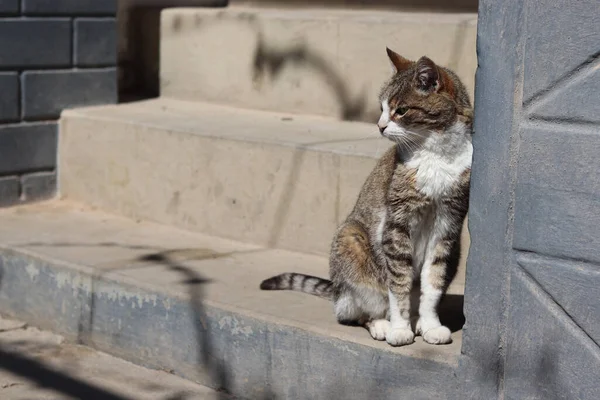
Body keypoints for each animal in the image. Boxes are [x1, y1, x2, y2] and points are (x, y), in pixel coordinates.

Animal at [260, 47, 472, 346]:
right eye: (381, 109)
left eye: (400, 110)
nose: (379, 126)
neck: (436, 155)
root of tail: (336, 290)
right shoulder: (396, 224)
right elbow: (398, 284)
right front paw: (399, 328)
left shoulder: (447, 224)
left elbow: (432, 282)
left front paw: (431, 325)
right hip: (350, 241)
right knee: (355, 311)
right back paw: (382, 324)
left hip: (457, 252)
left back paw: (418, 322)